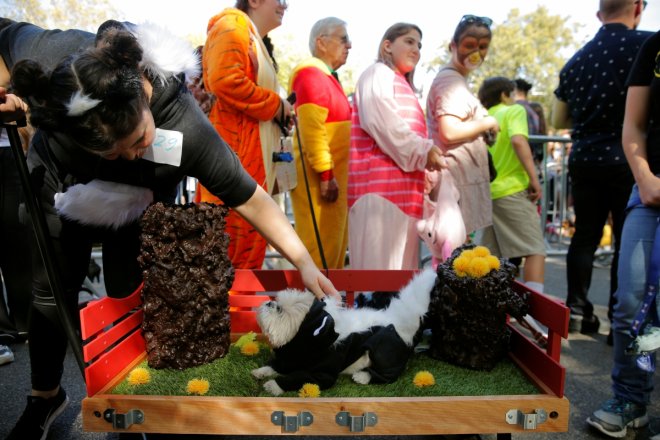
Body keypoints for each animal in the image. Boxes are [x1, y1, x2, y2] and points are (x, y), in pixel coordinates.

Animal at [250, 268, 436, 396]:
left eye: (280, 310)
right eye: (277, 302)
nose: (269, 303)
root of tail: (401, 322)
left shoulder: (322, 375)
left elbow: (299, 378)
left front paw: (274, 385)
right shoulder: (287, 359)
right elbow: (276, 366)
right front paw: (261, 372)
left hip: (384, 352)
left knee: (389, 375)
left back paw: (363, 377)